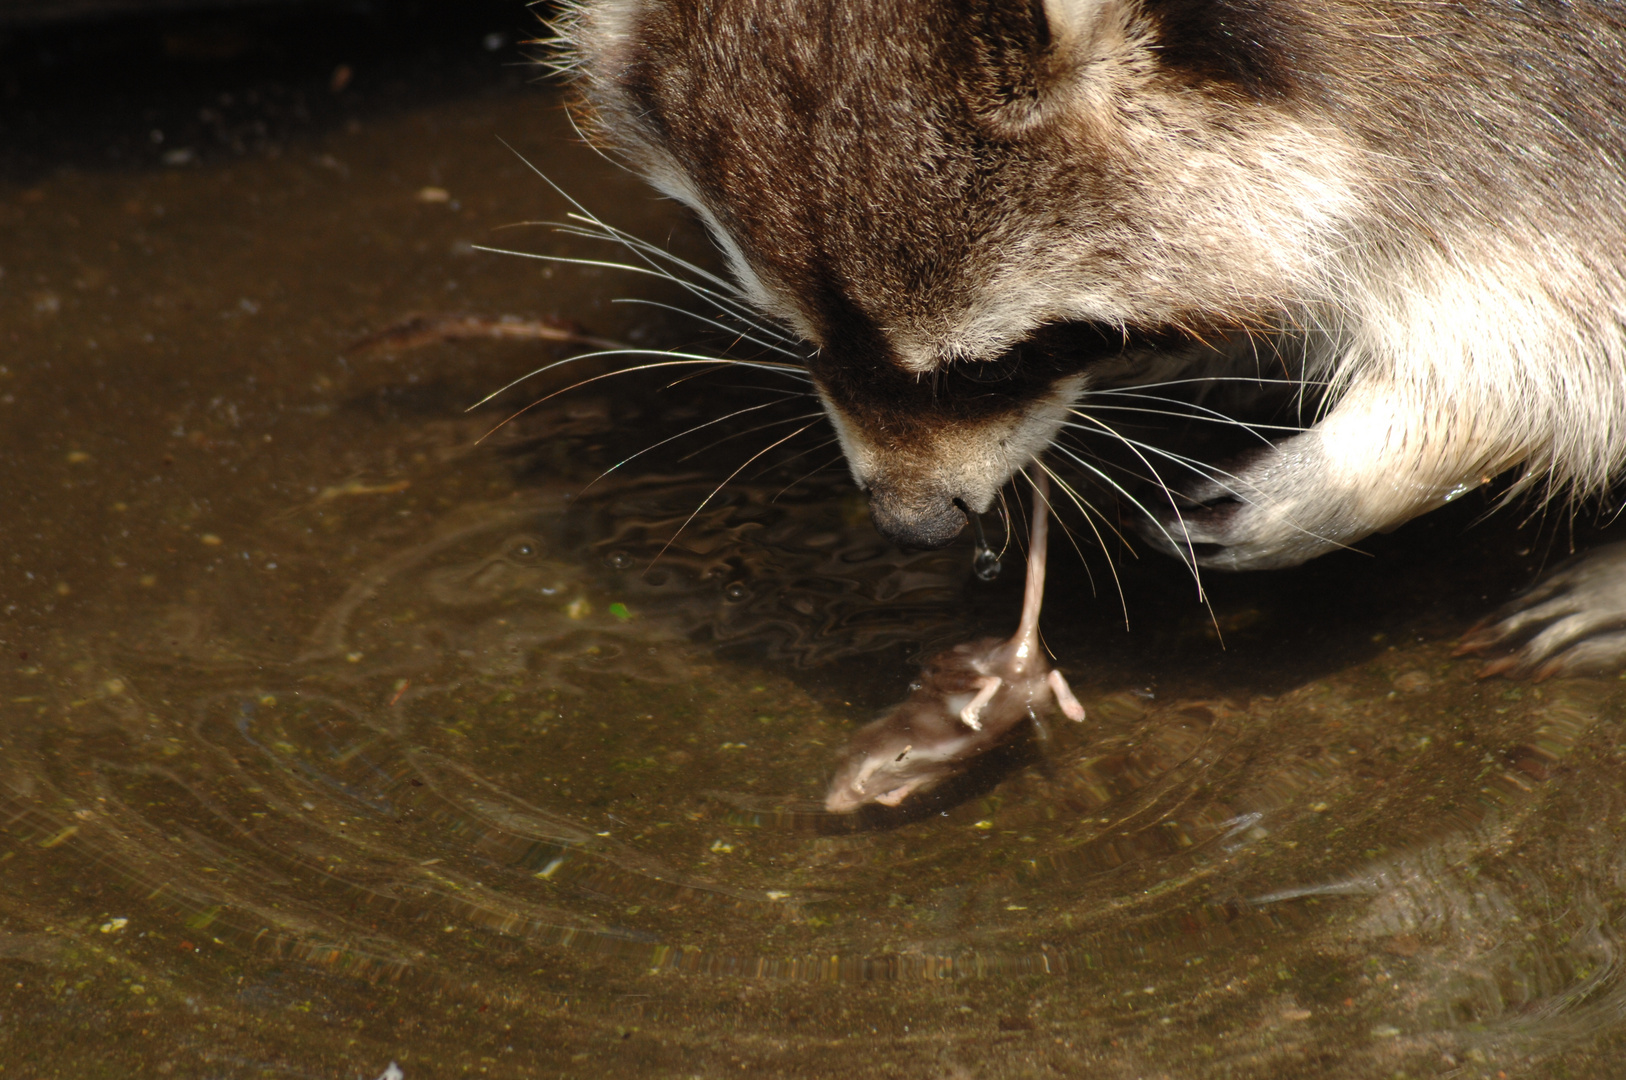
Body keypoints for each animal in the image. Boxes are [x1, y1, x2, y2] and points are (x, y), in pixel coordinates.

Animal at [552, 0, 1626, 676]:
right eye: (802, 339)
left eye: (994, 364)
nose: (913, 525)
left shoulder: (1535, 90)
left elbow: (1552, 347)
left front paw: (1364, 469)